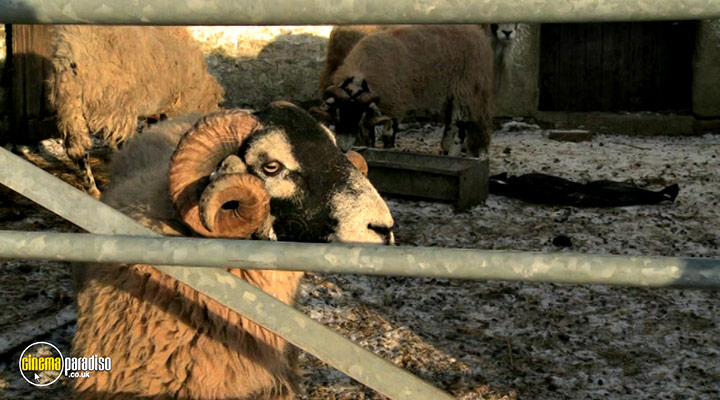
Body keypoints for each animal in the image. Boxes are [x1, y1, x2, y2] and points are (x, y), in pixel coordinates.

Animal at [47, 25, 224, 199]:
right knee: (118, 144)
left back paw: (92, 189)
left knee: (78, 151)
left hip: (69, 110)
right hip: (116, 107)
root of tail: (72, 55)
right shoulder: (177, 107)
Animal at [313, 25, 494, 158]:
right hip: (450, 94)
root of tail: (477, 32)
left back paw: (453, 155)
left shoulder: (394, 103)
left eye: (356, 116)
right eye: (337, 114)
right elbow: (368, 133)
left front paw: (387, 149)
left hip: (466, 90)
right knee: (451, 123)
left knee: (460, 126)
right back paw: (445, 149)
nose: (343, 149)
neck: (361, 72)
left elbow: (387, 134)